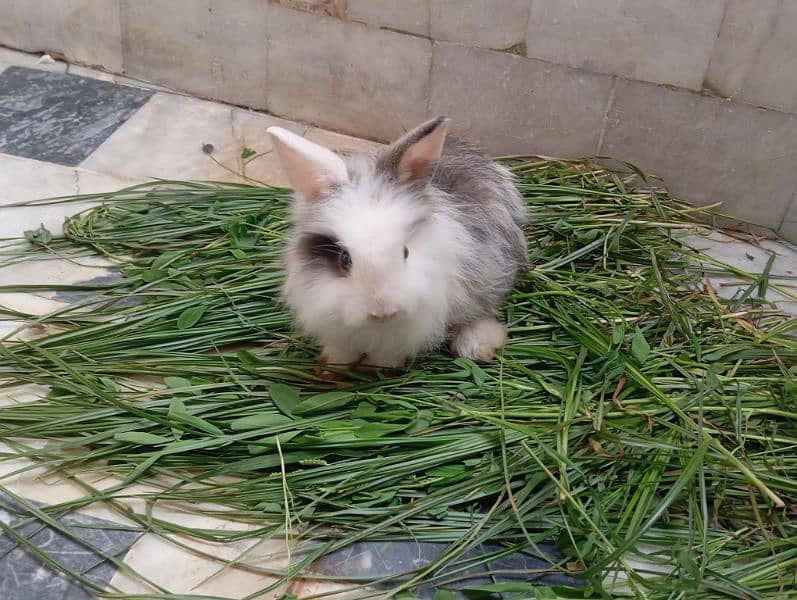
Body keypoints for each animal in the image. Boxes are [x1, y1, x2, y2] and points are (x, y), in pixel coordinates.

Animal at [268, 116, 528, 370]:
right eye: (345, 259)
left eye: (406, 252)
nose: (383, 312)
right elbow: (342, 350)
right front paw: (332, 365)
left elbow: (387, 354)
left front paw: (381, 368)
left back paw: (475, 347)